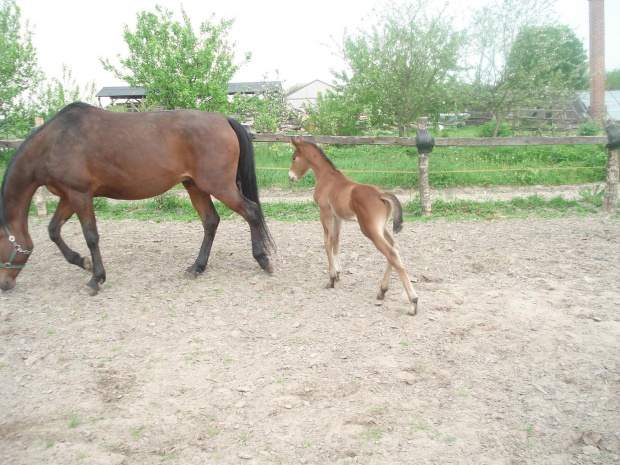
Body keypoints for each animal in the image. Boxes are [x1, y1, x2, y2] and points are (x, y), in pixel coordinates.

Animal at [0, 103, 274, 292]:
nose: (4, 284)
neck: (54, 142)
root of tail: (224, 119)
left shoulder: (80, 195)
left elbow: (91, 236)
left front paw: (96, 278)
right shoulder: (68, 196)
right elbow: (53, 231)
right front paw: (83, 262)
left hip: (218, 186)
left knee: (250, 211)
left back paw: (263, 260)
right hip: (195, 186)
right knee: (211, 221)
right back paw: (197, 267)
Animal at [290, 136, 416, 314]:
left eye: (294, 158)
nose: (291, 177)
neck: (327, 176)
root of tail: (381, 195)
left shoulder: (325, 212)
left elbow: (327, 242)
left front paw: (331, 279)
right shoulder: (337, 217)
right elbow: (336, 242)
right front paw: (338, 273)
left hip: (369, 230)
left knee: (391, 253)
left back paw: (413, 302)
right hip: (382, 227)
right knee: (395, 246)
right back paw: (382, 291)